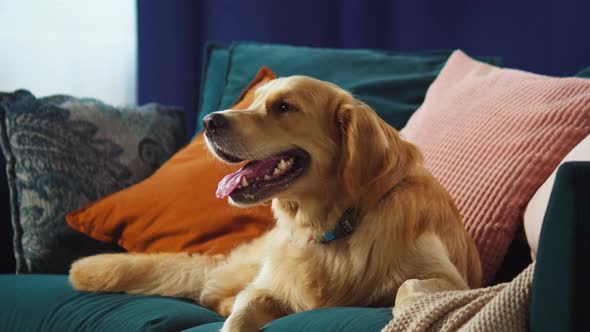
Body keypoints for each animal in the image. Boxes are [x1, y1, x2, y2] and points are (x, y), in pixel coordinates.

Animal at [71, 76, 484, 332]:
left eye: (284, 106)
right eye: (253, 102)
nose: (209, 121)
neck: (333, 227)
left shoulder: (451, 279)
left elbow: (410, 287)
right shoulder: (265, 287)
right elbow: (242, 312)